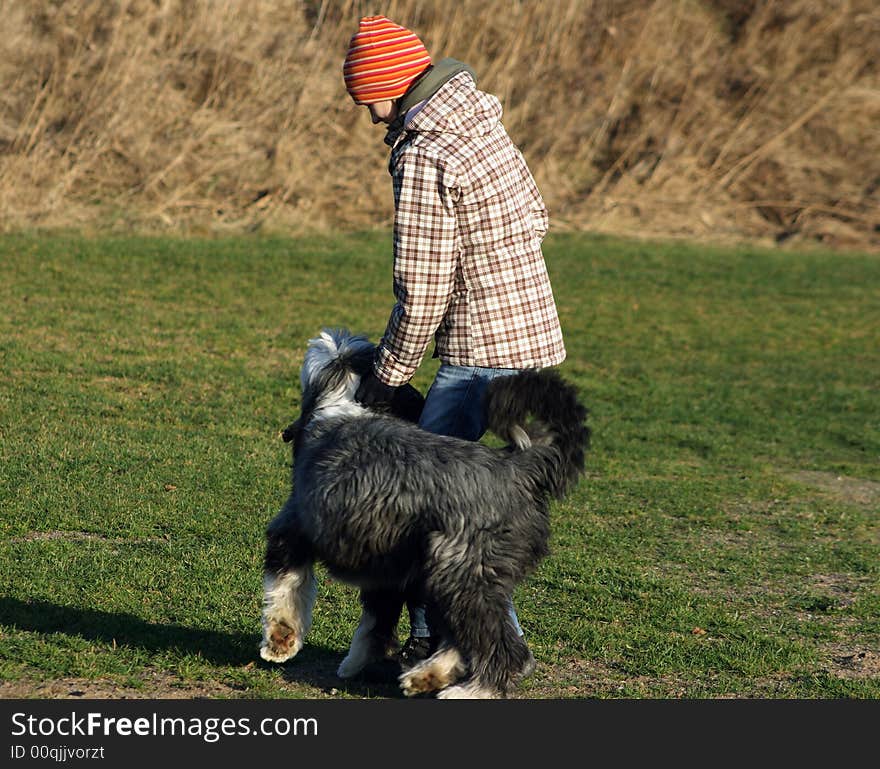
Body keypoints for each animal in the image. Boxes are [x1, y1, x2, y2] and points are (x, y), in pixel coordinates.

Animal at [262, 328, 592, 700]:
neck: (341, 401)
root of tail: (518, 467)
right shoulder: (385, 568)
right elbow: (376, 621)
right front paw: (355, 662)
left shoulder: (294, 529)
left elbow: (288, 588)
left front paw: (279, 643)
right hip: (441, 573)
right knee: (459, 638)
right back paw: (426, 676)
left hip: (459, 573)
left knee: (504, 649)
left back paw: (469, 691)